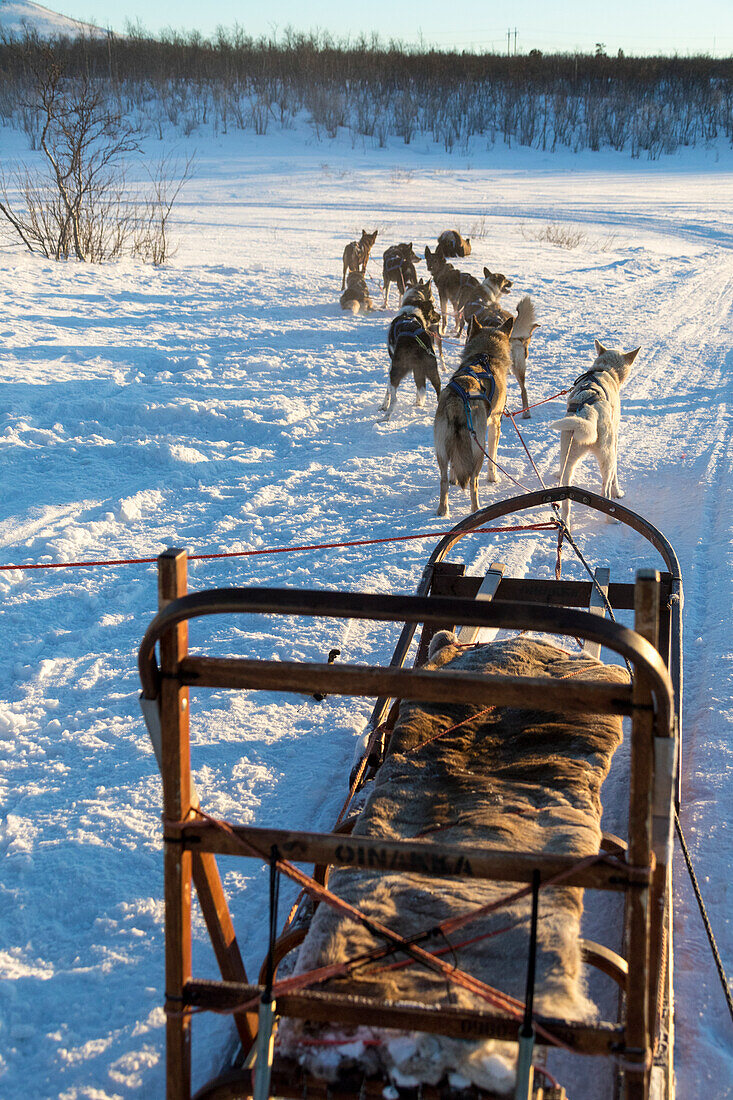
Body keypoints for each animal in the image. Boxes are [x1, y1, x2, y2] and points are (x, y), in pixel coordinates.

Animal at [431, 312, 510, 512]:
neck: (484, 355)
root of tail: (457, 402)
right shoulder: (495, 423)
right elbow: (493, 458)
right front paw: (493, 478)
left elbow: (454, 467)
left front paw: (454, 479)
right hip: (478, 449)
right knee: (474, 482)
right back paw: (477, 509)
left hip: (441, 450)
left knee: (443, 480)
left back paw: (443, 511)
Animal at [550, 341, 638, 525]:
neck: (603, 370)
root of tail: (588, 413)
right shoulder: (615, 442)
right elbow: (615, 479)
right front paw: (618, 492)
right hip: (607, 457)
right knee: (605, 492)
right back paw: (612, 519)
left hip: (568, 457)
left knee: (566, 502)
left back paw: (566, 523)